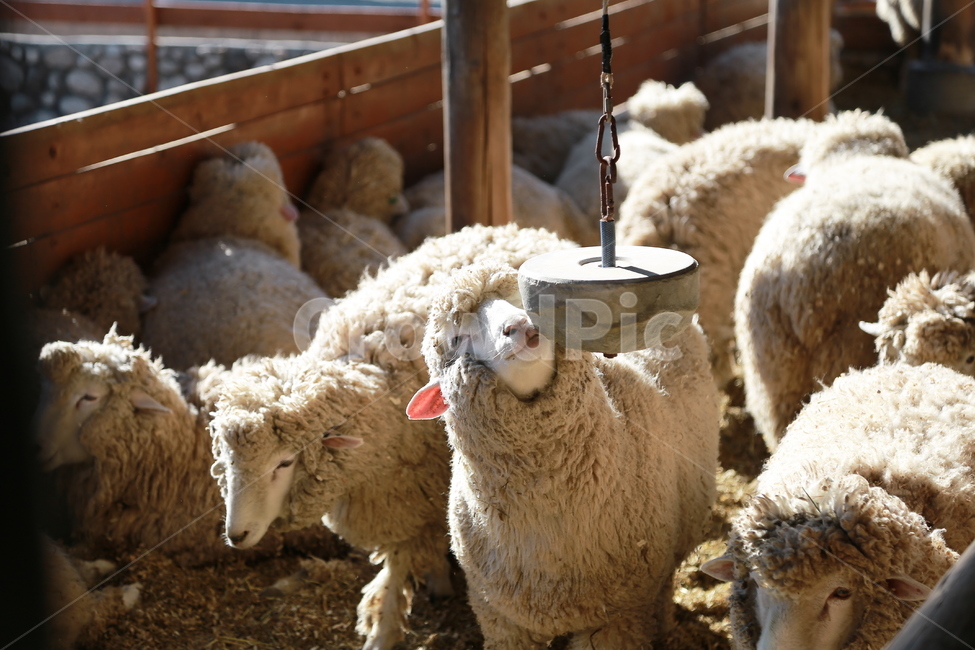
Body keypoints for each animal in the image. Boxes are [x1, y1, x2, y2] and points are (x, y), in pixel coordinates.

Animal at [207, 224, 578, 650]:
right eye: (226, 463)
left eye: (283, 463)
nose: (236, 535)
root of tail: (522, 228)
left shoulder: (405, 496)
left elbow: (398, 566)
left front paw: (383, 629)